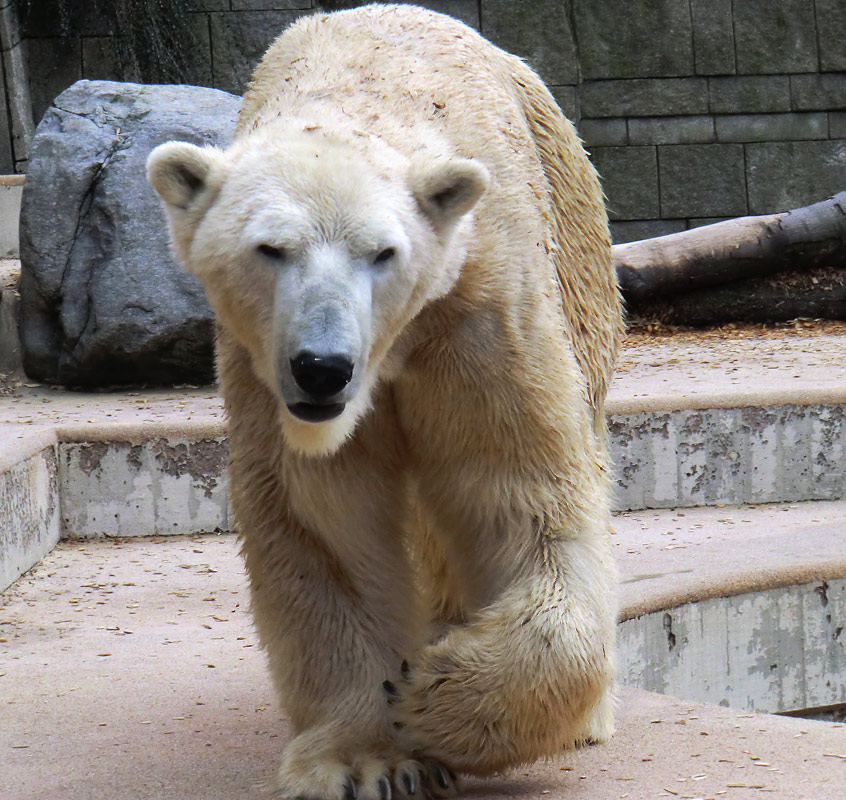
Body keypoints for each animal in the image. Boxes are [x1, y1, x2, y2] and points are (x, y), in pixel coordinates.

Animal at [147, 3, 624, 796]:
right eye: (270, 249)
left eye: (383, 253)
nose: (323, 369)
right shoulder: (261, 375)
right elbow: (329, 524)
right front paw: (363, 757)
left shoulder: (477, 315)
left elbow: (519, 492)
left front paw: (436, 695)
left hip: (572, 220)